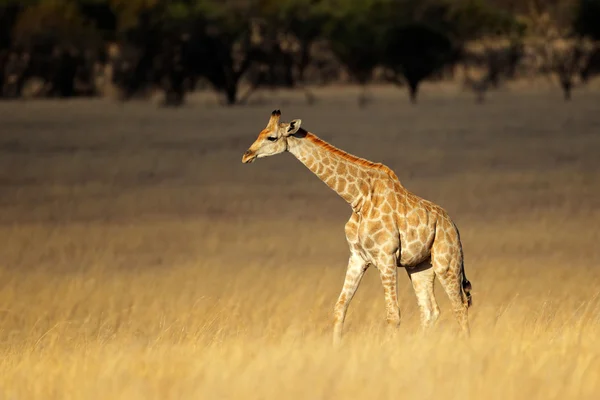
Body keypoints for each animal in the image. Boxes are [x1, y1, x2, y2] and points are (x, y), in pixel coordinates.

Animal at [241, 110, 472, 346]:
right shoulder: (357, 256)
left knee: (460, 306)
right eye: (260, 133)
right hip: (419, 266)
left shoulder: (386, 256)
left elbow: (393, 315)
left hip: (447, 263)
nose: (246, 156)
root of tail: (454, 227)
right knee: (430, 310)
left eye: (271, 138)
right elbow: (340, 308)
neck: (358, 198)